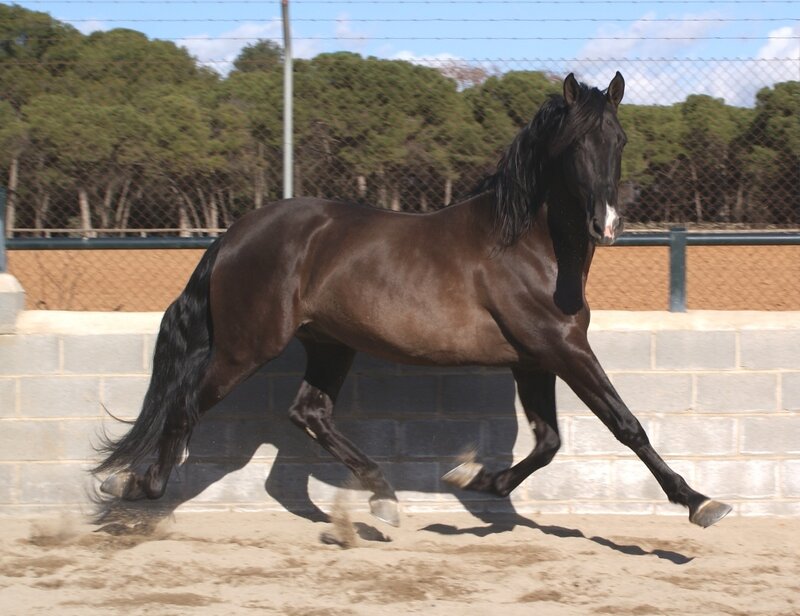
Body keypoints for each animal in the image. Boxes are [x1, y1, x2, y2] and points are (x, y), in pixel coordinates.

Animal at [94, 72, 731, 530]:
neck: (528, 245)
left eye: (619, 140)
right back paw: (134, 487)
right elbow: (626, 425)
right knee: (187, 406)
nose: (608, 225)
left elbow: (549, 442)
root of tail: (232, 235)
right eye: (576, 143)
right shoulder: (562, 347)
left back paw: (383, 498)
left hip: (329, 343)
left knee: (309, 413)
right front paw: (700, 502)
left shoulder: (535, 359)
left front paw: (474, 479)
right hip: (246, 348)